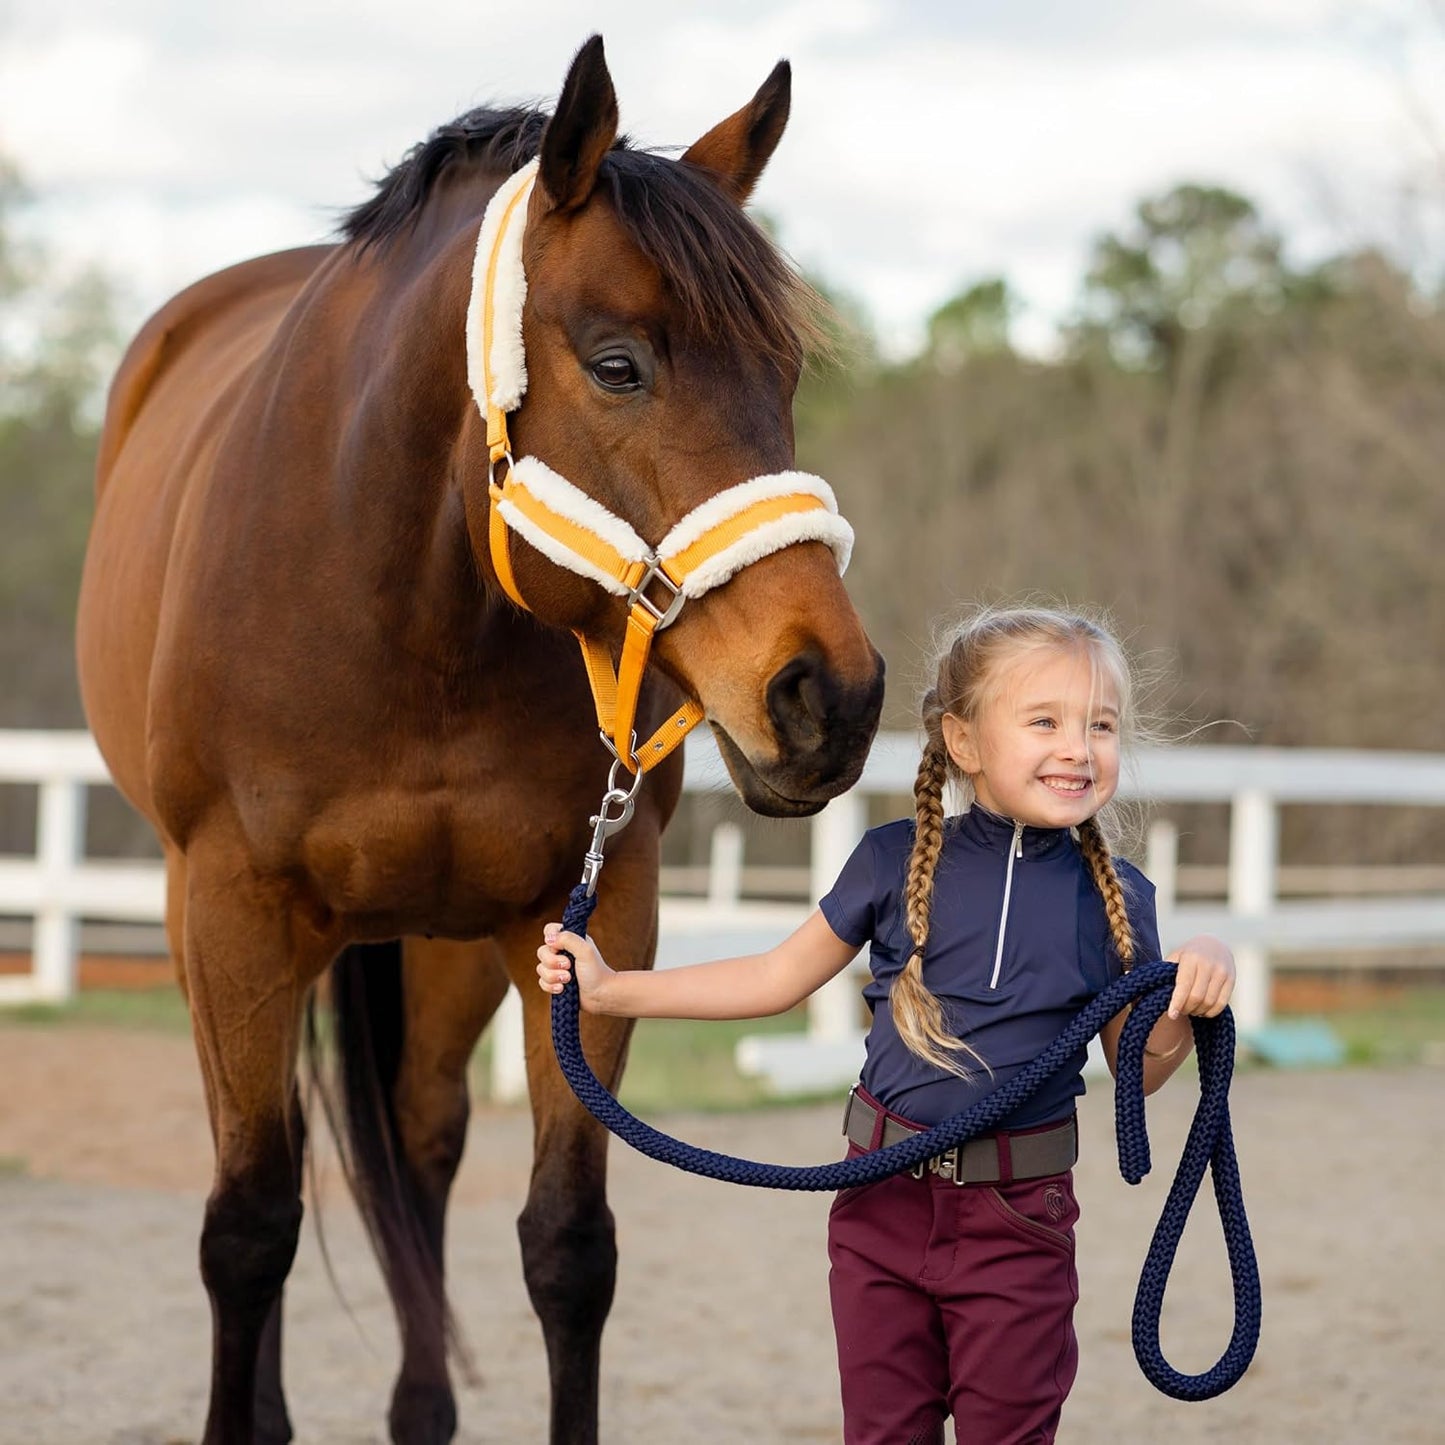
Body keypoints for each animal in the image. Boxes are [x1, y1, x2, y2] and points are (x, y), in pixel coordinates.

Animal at [75, 34, 884, 1445]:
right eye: (618, 365)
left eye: (782, 376)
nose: (825, 696)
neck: (412, 603)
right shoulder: (234, 909)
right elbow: (247, 1225)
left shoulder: (593, 907)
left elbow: (566, 1243)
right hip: (210, 927)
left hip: (440, 942)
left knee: (419, 1141)